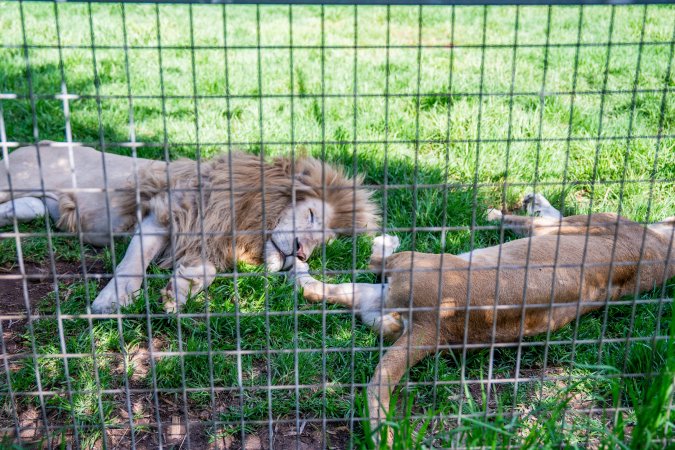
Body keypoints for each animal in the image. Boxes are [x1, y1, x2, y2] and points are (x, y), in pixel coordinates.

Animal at [0, 141, 379, 313]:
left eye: (321, 244)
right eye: (311, 214)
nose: (301, 252)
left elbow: (206, 270)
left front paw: (179, 291)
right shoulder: (164, 214)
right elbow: (131, 265)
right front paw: (110, 301)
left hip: (35, 205)